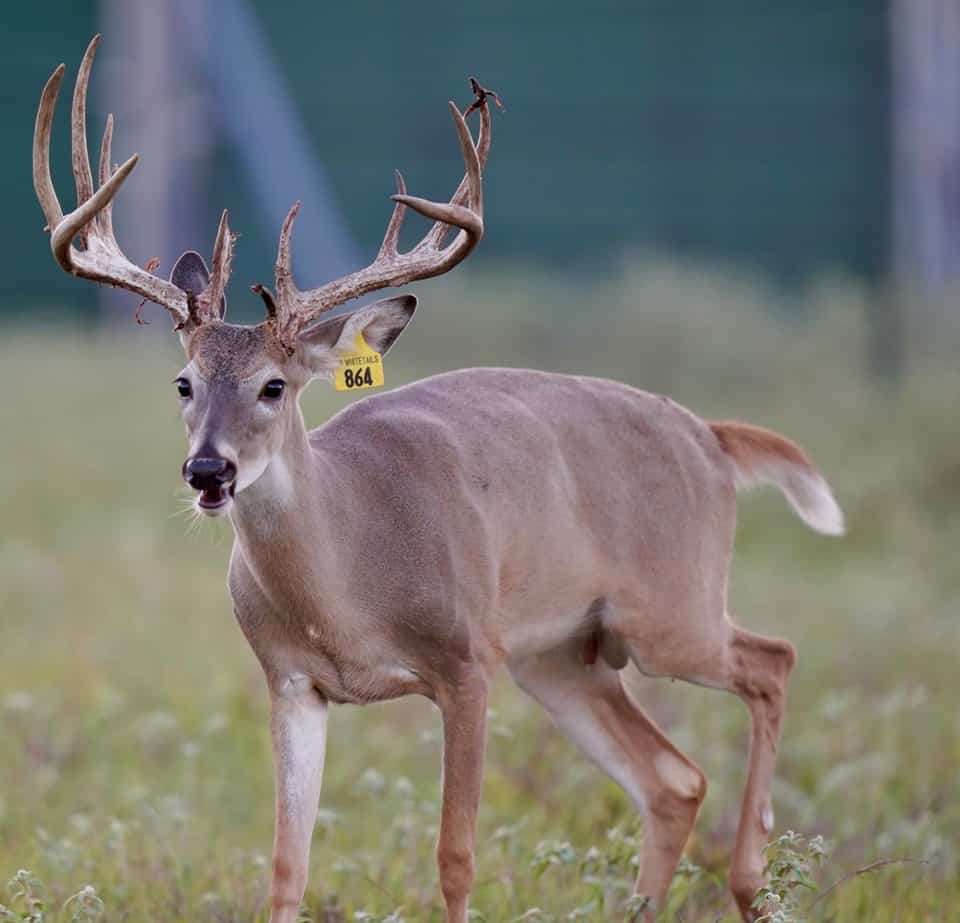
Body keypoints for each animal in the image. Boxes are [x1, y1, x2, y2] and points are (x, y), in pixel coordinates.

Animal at [35, 36, 844, 923]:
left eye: (274, 386)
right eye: (183, 382)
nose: (208, 468)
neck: (347, 586)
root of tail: (711, 437)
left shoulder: (465, 662)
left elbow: (455, 855)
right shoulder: (291, 681)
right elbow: (287, 864)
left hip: (670, 610)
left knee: (773, 660)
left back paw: (751, 877)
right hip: (565, 655)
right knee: (675, 779)